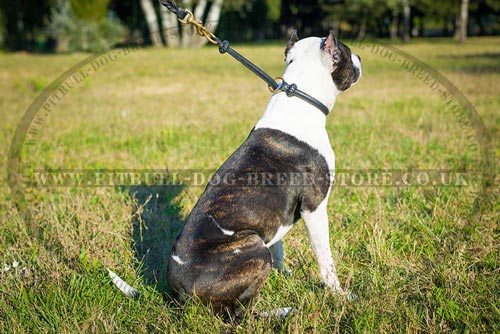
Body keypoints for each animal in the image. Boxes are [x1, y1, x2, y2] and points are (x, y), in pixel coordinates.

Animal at [167, 29, 360, 318]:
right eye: (346, 53)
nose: (359, 56)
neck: (300, 99)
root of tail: (180, 291)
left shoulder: (277, 215)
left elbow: (278, 247)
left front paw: (283, 274)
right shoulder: (314, 208)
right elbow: (326, 260)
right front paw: (339, 294)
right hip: (253, 249)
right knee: (238, 315)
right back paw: (279, 313)